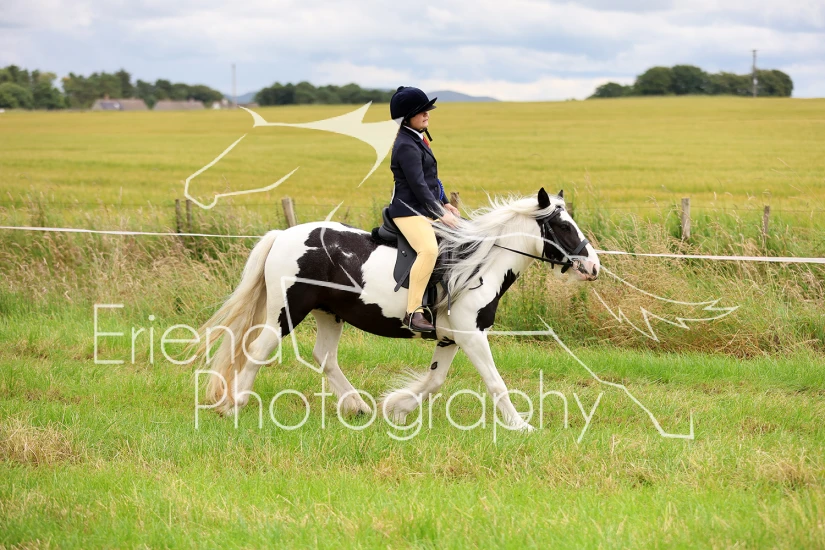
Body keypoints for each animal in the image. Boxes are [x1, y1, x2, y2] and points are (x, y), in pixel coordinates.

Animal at [196, 188, 600, 430]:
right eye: (564, 225)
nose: (593, 266)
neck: (478, 266)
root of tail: (283, 235)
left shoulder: (451, 338)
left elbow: (435, 381)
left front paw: (397, 408)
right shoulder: (471, 335)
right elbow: (495, 381)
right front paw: (521, 425)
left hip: (329, 314)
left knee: (324, 357)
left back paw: (358, 407)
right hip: (287, 312)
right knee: (258, 349)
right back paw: (233, 405)